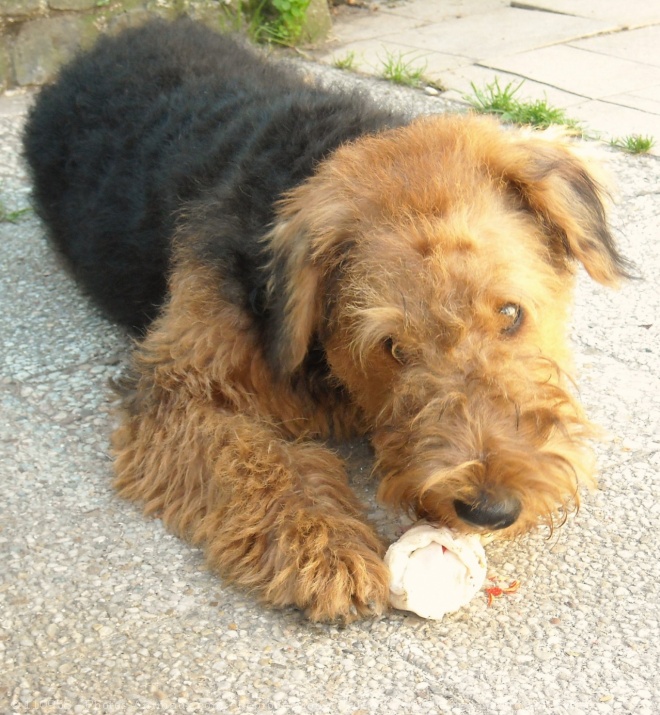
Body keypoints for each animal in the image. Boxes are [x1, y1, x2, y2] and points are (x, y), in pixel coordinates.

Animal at [21, 16, 628, 620]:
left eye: (510, 313)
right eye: (393, 347)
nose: (490, 509)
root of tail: (108, 39)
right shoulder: (181, 383)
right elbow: (252, 457)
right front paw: (324, 549)